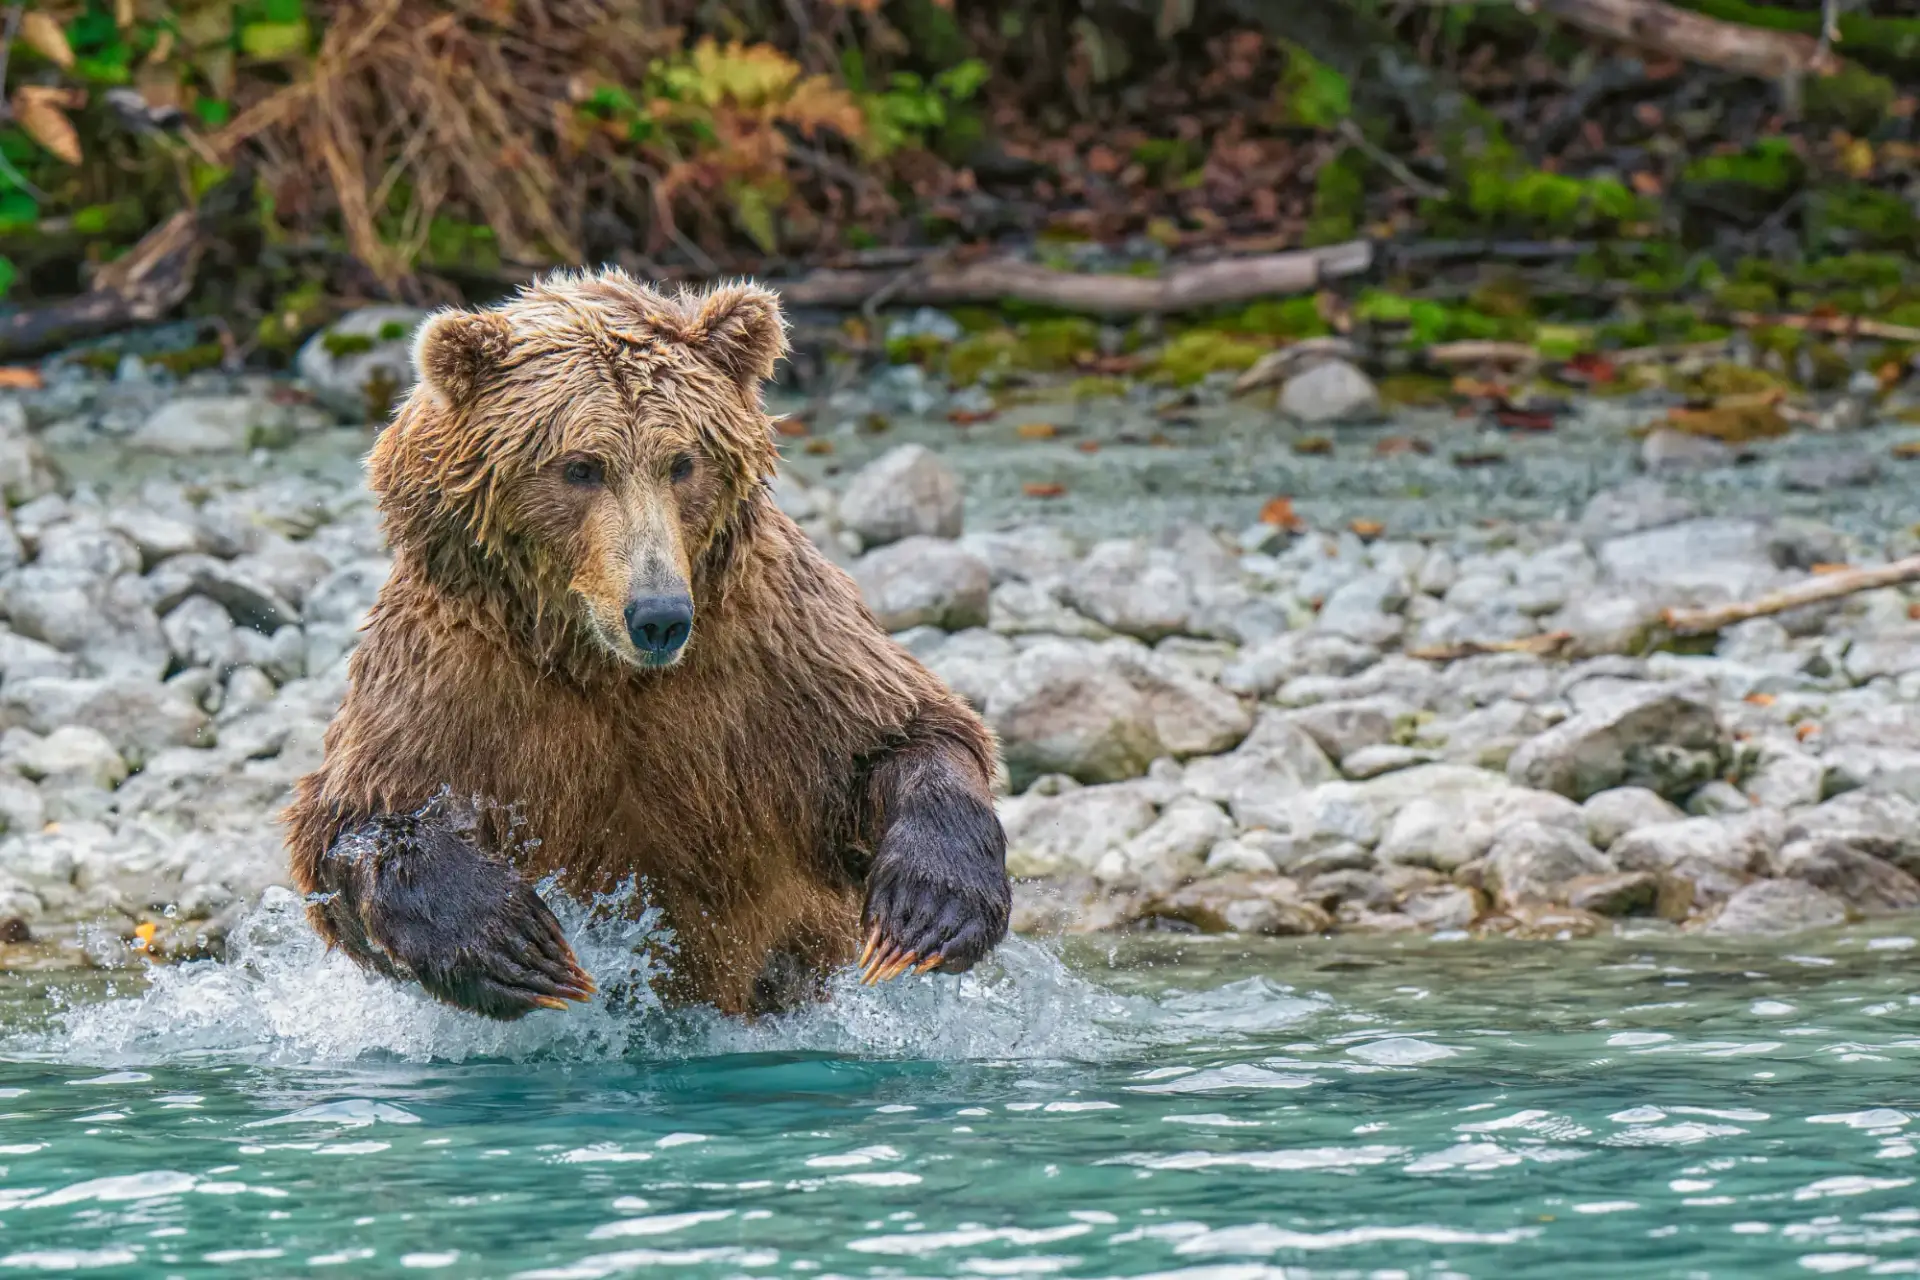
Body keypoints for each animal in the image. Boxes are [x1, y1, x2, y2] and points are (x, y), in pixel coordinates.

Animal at [282, 269, 1010, 1019]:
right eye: (580, 467)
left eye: (683, 462)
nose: (658, 615)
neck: (602, 666)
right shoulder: (455, 674)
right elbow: (352, 821)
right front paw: (509, 942)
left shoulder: (773, 650)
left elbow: (905, 731)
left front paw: (928, 910)